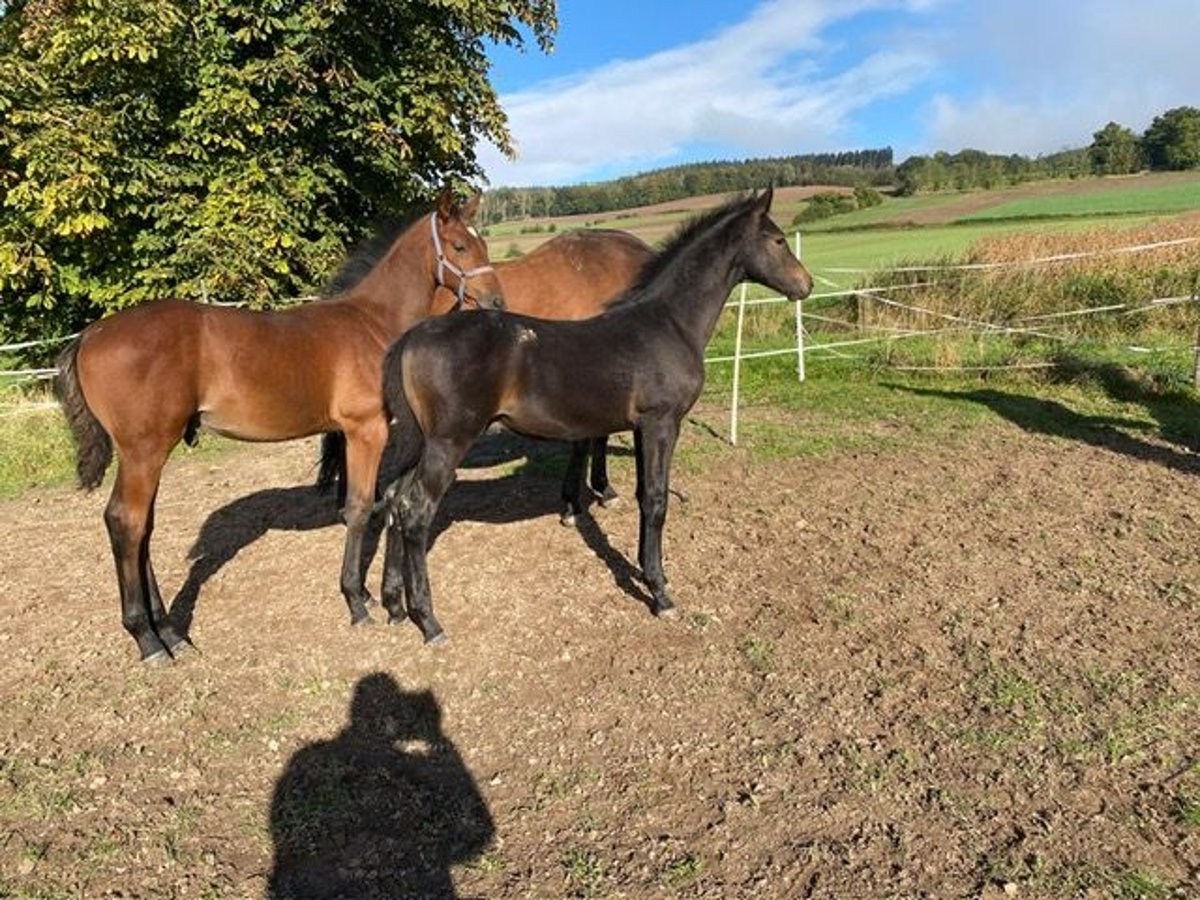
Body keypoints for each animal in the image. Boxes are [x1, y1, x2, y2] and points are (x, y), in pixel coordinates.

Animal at [54, 190, 504, 662]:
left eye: (483, 244)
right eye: (460, 247)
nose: (496, 302)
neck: (369, 322)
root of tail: (89, 336)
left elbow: (375, 504)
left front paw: (373, 596)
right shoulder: (366, 430)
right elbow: (361, 507)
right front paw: (357, 603)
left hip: (148, 453)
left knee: (142, 528)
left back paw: (170, 633)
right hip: (144, 450)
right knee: (126, 522)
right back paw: (147, 638)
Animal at [379, 188, 811, 643]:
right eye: (778, 240)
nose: (806, 284)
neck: (669, 323)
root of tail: (410, 338)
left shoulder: (641, 427)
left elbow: (641, 493)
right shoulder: (662, 423)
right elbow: (656, 500)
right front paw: (659, 593)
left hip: (419, 443)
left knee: (393, 501)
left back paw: (394, 605)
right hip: (447, 444)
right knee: (416, 513)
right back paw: (429, 621)